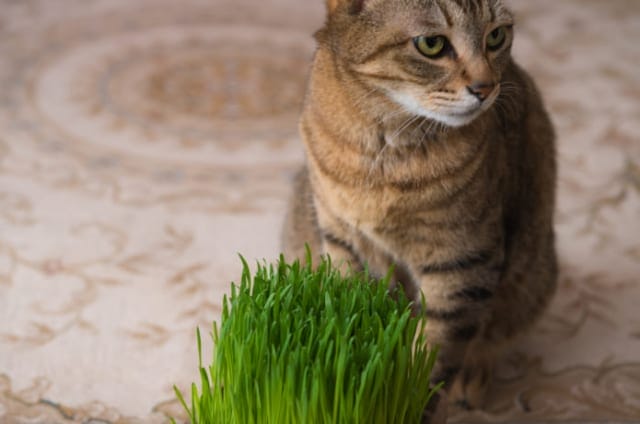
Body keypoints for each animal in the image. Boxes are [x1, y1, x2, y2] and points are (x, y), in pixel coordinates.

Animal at [280, 0, 556, 414]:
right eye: (431, 44)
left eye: (496, 36)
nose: (486, 87)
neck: (385, 152)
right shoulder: (344, 239)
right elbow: (364, 316)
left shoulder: (462, 261)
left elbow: (430, 354)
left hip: (532, 272)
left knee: (496, 332)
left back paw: (471, 377)